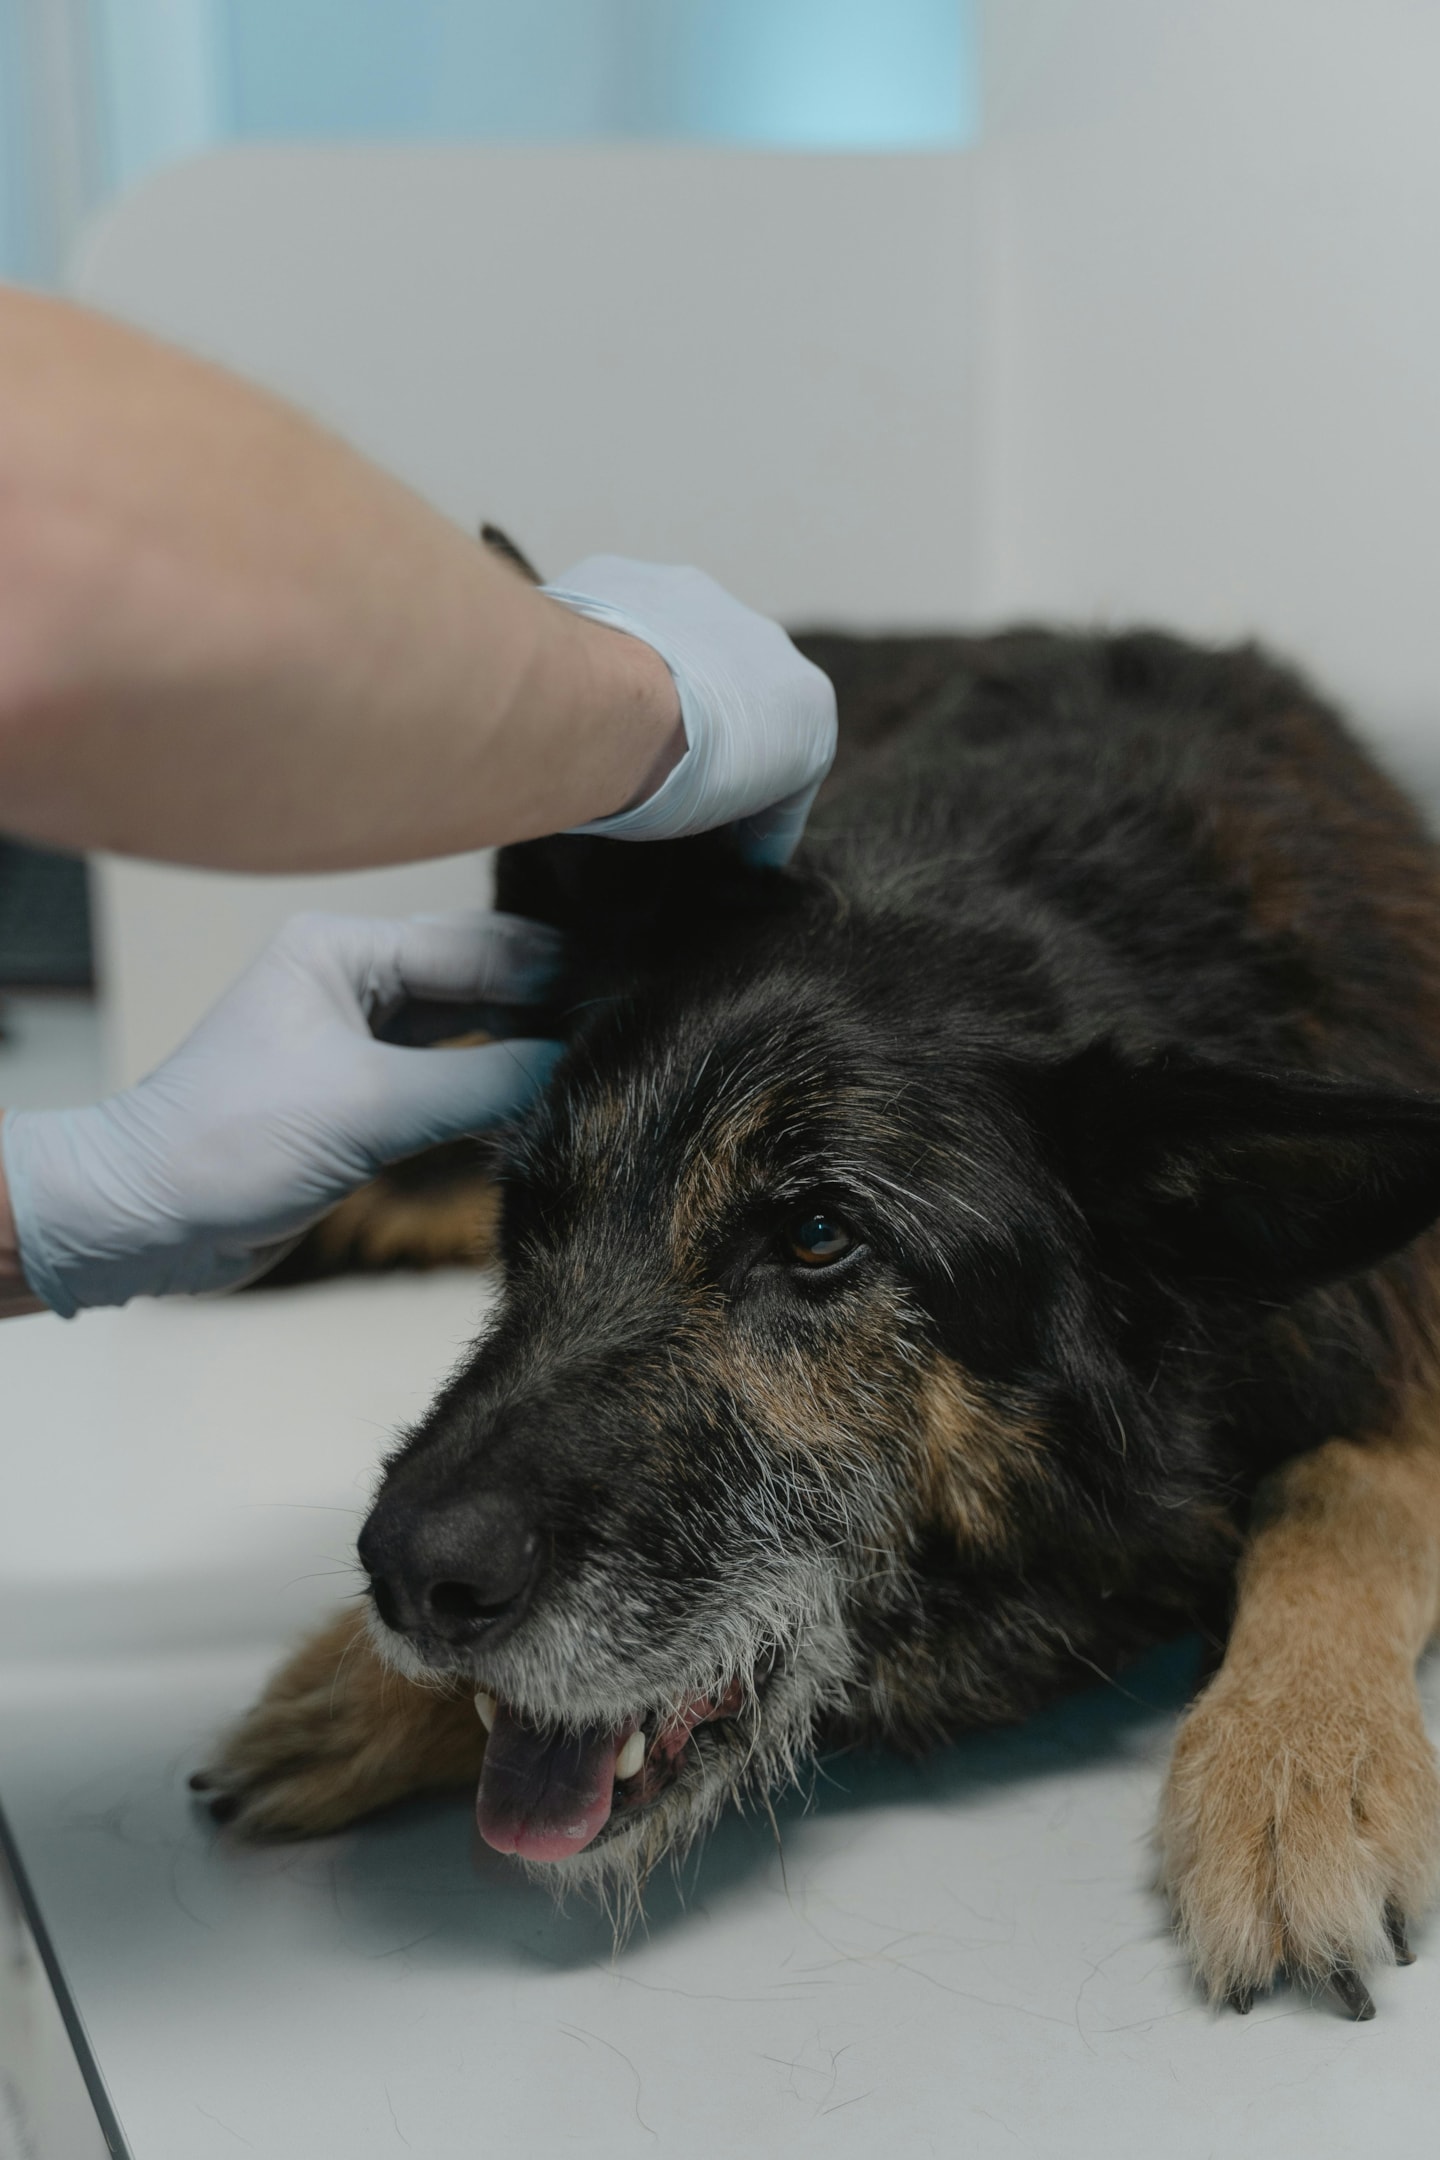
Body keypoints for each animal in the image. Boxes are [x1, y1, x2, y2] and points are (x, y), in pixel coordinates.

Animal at [197, 578, 1440, 2021]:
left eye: (815, 1236)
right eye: (538, 1213)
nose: (405, 1576)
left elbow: (1352, 1489)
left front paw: (1299, 1765)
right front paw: (371, 1691)